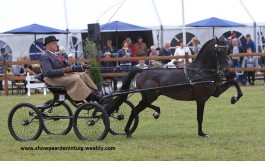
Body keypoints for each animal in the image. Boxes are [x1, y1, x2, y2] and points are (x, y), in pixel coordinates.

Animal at [104, 36, 242, 138]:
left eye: (227, 51)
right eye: (218, 51)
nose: (227, 71)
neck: (201, 71)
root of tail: (142, 71)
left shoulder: (215, 92)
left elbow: (234, 82)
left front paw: (234, 98)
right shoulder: (201, 98)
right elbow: (200, 117)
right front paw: (202, 133)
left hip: (151, 96)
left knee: (140, 107)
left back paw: (155, 113)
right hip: (150, 95)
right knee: (135, 109)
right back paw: (128, 131)